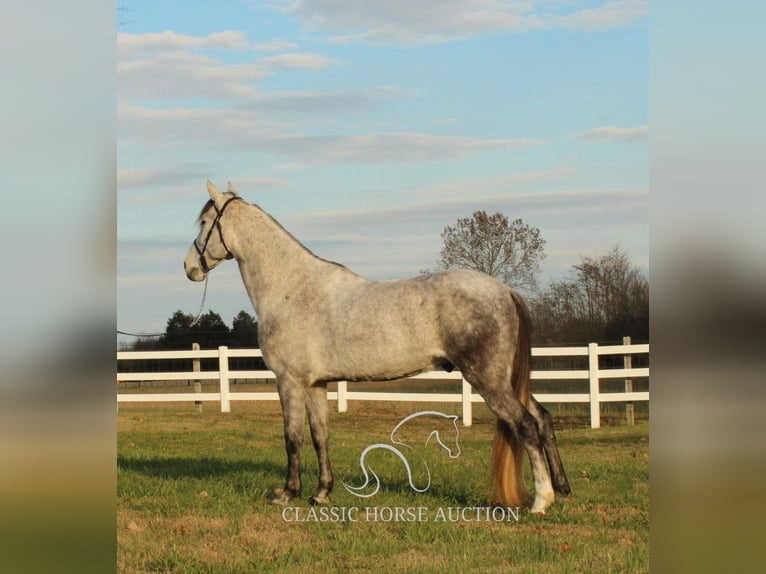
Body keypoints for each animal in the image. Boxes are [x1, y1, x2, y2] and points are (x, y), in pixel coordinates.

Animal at [184, 182, 568, 516]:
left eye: (203, 223)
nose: (189, 268)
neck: (293, 289)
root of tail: (504, 290)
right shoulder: (316, 384)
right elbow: (320, 436)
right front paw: (321, 493)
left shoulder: (289, 381)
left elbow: (292, 438)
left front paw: (288, 494)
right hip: (507, 379)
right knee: (543, 418)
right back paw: (562, 489)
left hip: (488, 381)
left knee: (526, 425)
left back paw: (541, 501)